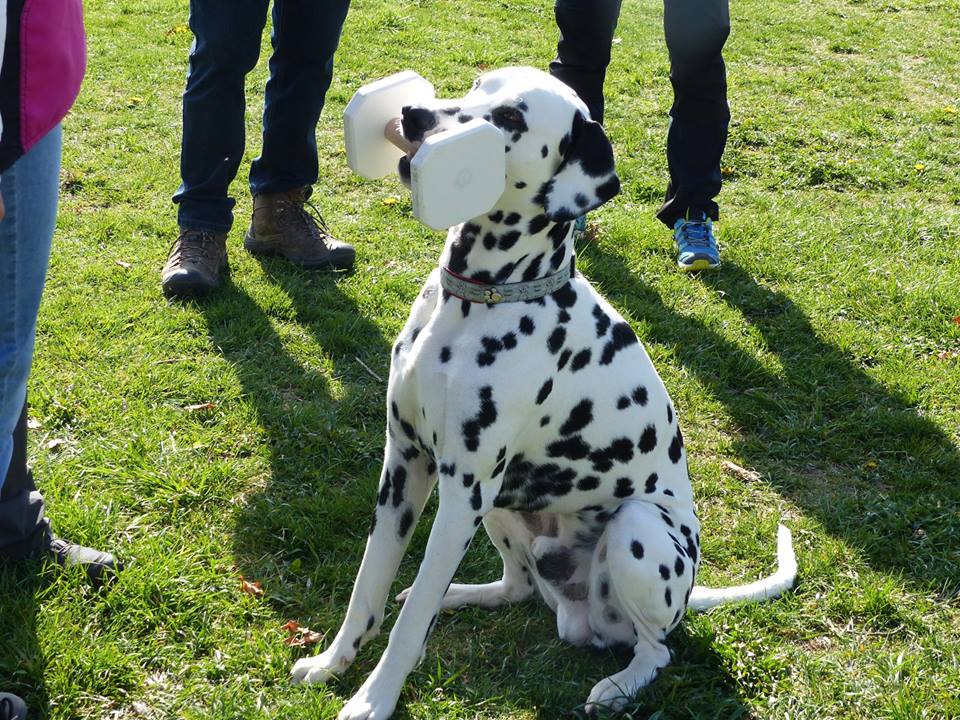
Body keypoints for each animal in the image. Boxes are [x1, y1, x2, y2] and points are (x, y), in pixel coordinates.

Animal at [291, 67, 797, 719]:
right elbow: (369, 585)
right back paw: (463, 594)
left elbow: (409, 624)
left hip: (633, 529)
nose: (413, 116)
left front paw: (373, 699)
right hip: (506, 508)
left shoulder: (462, 492)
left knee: (656, 649)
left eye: (511, 119)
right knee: (517, 586)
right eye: (476, 86)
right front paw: (334, 661)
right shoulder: (404, 466)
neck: (476, 301)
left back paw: (617, 686)